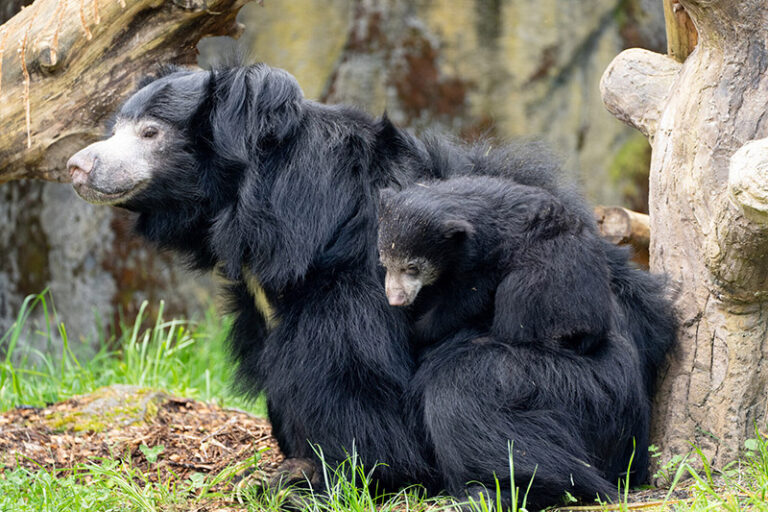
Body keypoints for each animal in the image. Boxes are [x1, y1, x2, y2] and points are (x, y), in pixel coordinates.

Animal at [66, 63, 676, 509]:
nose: (77, 166)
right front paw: (288, 468)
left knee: (469, 381)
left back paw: (494, 490)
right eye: (116, 128)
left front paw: (325, 477)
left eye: (150, 133)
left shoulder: (359, 280)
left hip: (581, 387)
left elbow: (348, 378)